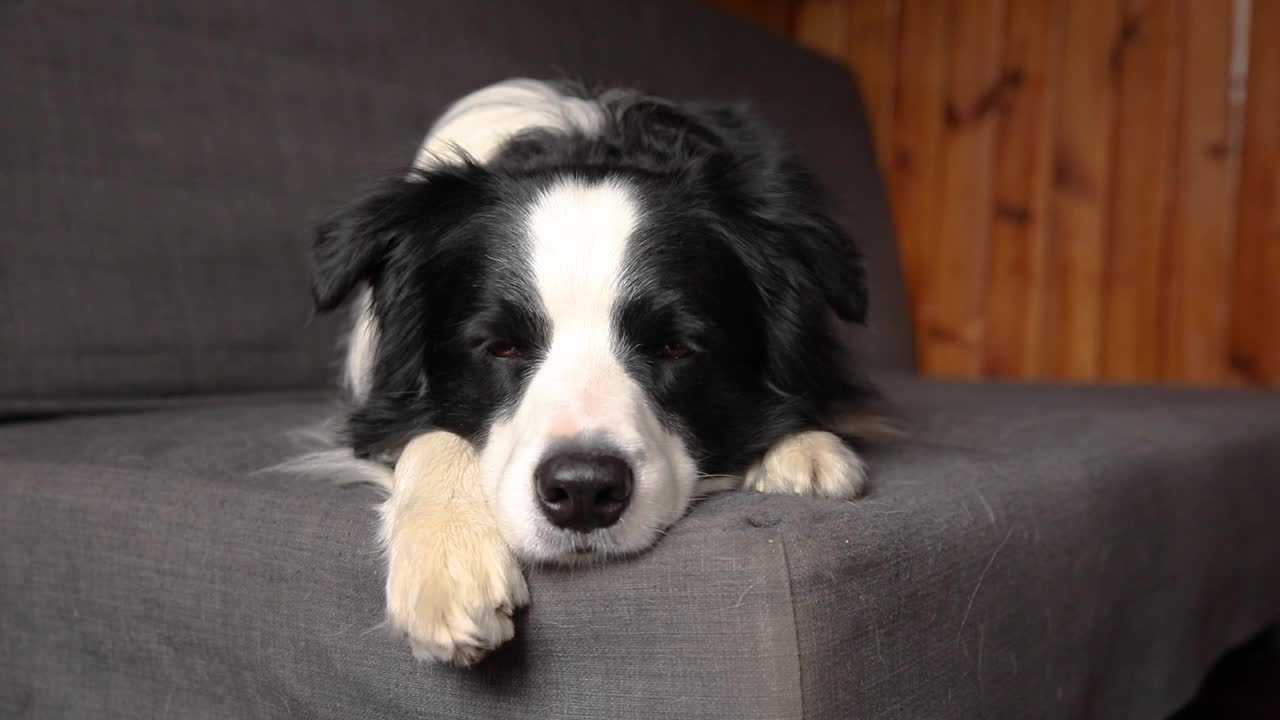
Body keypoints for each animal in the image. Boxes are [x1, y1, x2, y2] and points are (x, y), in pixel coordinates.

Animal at [308, 78, 870, 661]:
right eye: (501, 348)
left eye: (675, 347)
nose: (582, 492)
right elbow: (428, 435)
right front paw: (448, 563)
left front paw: (806, 449)